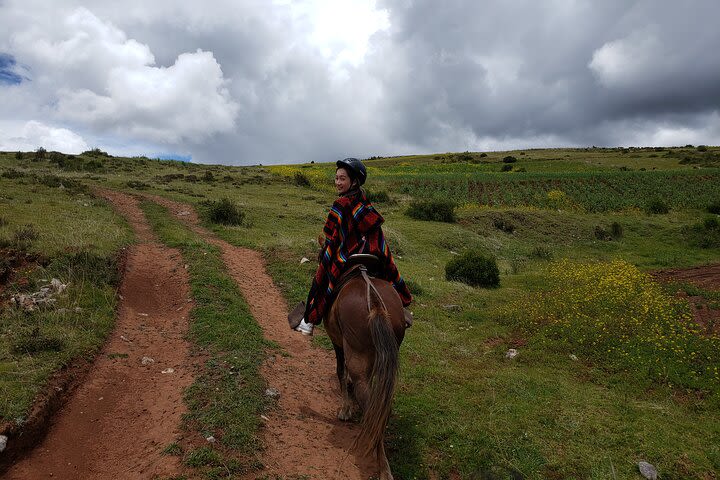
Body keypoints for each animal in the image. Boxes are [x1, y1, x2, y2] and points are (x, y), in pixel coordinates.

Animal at [324, 264, 408, 480]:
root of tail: (376, 304)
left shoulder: (338, 342)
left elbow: (340, 371)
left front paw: (345, 409)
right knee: (381, 406)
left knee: (370, 402)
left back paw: (383, 468)